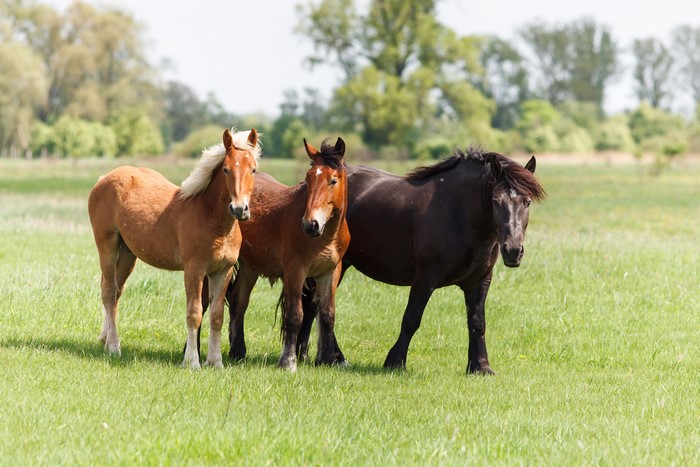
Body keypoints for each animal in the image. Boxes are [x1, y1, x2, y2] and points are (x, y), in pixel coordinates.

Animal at [87, 128, 261, 369]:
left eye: (253, 169)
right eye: (226, 169)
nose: (239, 209)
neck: (213, 220)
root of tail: (103, 179)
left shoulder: (222, 271)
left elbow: (216, 316)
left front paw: (215, 362)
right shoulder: (194, 269)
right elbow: (194, 313)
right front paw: (192, 362)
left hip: (128, 255)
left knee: (115, 291)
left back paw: (105, 340)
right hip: (108, 247)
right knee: (108, 292)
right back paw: (114, 346)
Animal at [232, 147, 545, 374]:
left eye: (527, 202)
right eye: (495, 202)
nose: (513, 250)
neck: (458, 214)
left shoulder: (479, 282)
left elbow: (477, 323)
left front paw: (480, 367)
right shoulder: (425, 278)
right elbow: (411, 319)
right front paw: (395, 362)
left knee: (312, 307)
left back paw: (309, 354)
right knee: (315, 307)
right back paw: (329, 357)